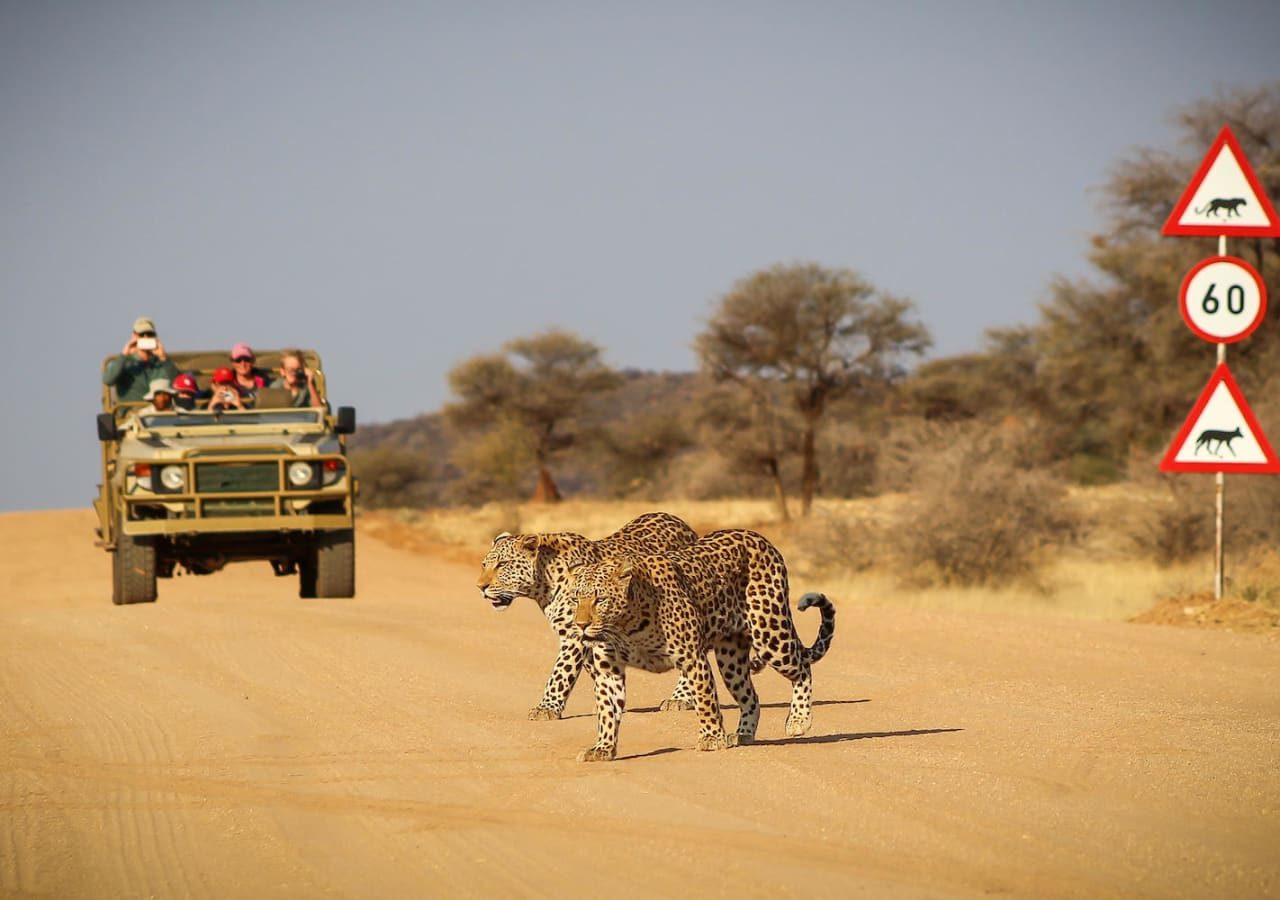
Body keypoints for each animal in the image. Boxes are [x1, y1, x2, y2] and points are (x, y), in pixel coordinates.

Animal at [476, 509, 701, 722]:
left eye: (502, 564)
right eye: (484, 565)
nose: (480, 587)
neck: (544, 583)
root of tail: (677, 520)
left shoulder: (574, 634)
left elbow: (561, 671)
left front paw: (546, 708)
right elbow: (595, 669)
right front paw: (607, 702)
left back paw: (681, 698)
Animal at [568, 532, 829, 763]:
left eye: (600, 600)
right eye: (575, 599)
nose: (581, 625)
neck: (625, 626)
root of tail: (762, 539)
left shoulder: (692, 658)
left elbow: (705, 699)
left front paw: (712, 738)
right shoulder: (608, 671)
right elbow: (607, 711)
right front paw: (603, 748)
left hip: (770, 635)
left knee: (802, 668)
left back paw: (798, 720)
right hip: (731, 659)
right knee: (751, 696)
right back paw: (743, 734)